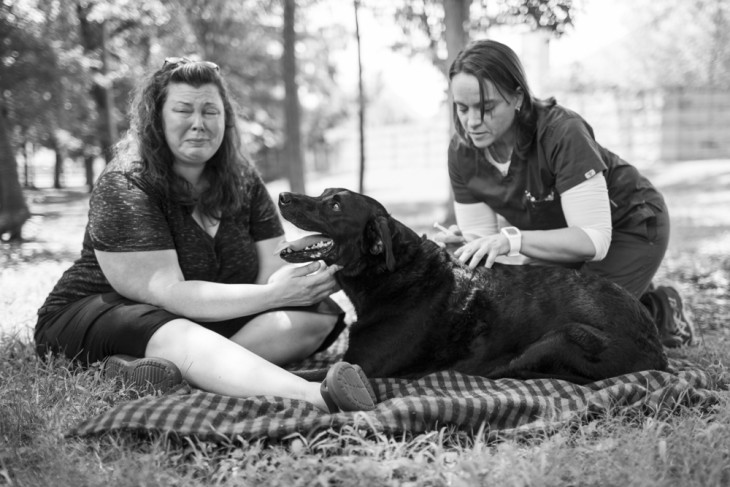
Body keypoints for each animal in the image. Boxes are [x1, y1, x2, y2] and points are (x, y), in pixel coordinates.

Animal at [278, 189, 664, 384]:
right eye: (324, 193)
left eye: (335, 204)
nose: (282, 195)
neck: (392, 274)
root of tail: (659, 351)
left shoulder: (361, 366)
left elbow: (298, 374)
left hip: (564, 336)